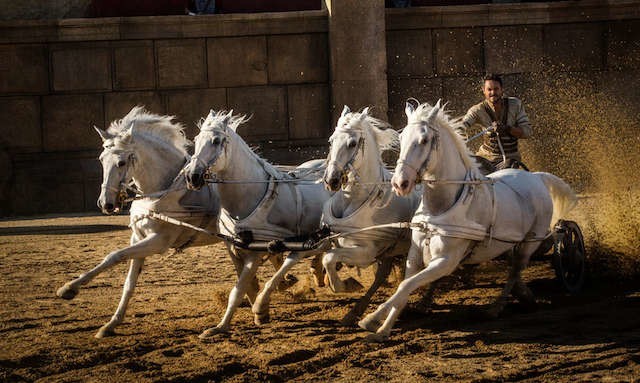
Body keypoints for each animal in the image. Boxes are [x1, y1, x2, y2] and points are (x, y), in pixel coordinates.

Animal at [57, 107, 222, 340]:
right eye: (101, 159)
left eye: (121, 162)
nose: (105, 203)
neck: (163, 191)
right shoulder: (138, 238)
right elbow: (129, 283)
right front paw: (111, 324)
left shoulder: (158, 242)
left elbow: (114, 256)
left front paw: (69, 288)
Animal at [180, 110, 330, 340]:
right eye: (196, 140)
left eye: (216, 141)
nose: (191, 176)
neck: (248, 195)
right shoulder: (233, 248)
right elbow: (245, 286)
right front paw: (222, 325)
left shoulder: (255, 251)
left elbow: (239, 289)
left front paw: (255, 313)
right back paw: (314, 273)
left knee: (307, 251)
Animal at [320, 106, 420, 326]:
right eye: (331, 140)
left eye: (352, 143)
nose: (331, 180)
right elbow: (327, 258)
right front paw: (330, 280)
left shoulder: (366, 253)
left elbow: (329, 259)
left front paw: (346, 285)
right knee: (382, 275)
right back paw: (355, 312)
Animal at [358, 100, 576, 340]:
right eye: (402, 137)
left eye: (424, 140)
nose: (399, 183)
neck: (439, 209)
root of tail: (536, 177)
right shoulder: (414, 256)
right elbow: (404, 287)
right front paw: (382, 330)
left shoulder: (446, 261)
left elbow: (406, 285)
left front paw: (370, 318)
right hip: (510, 243)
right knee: (513, 270)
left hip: (530, 241)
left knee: (515, 272)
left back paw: (496, 308)